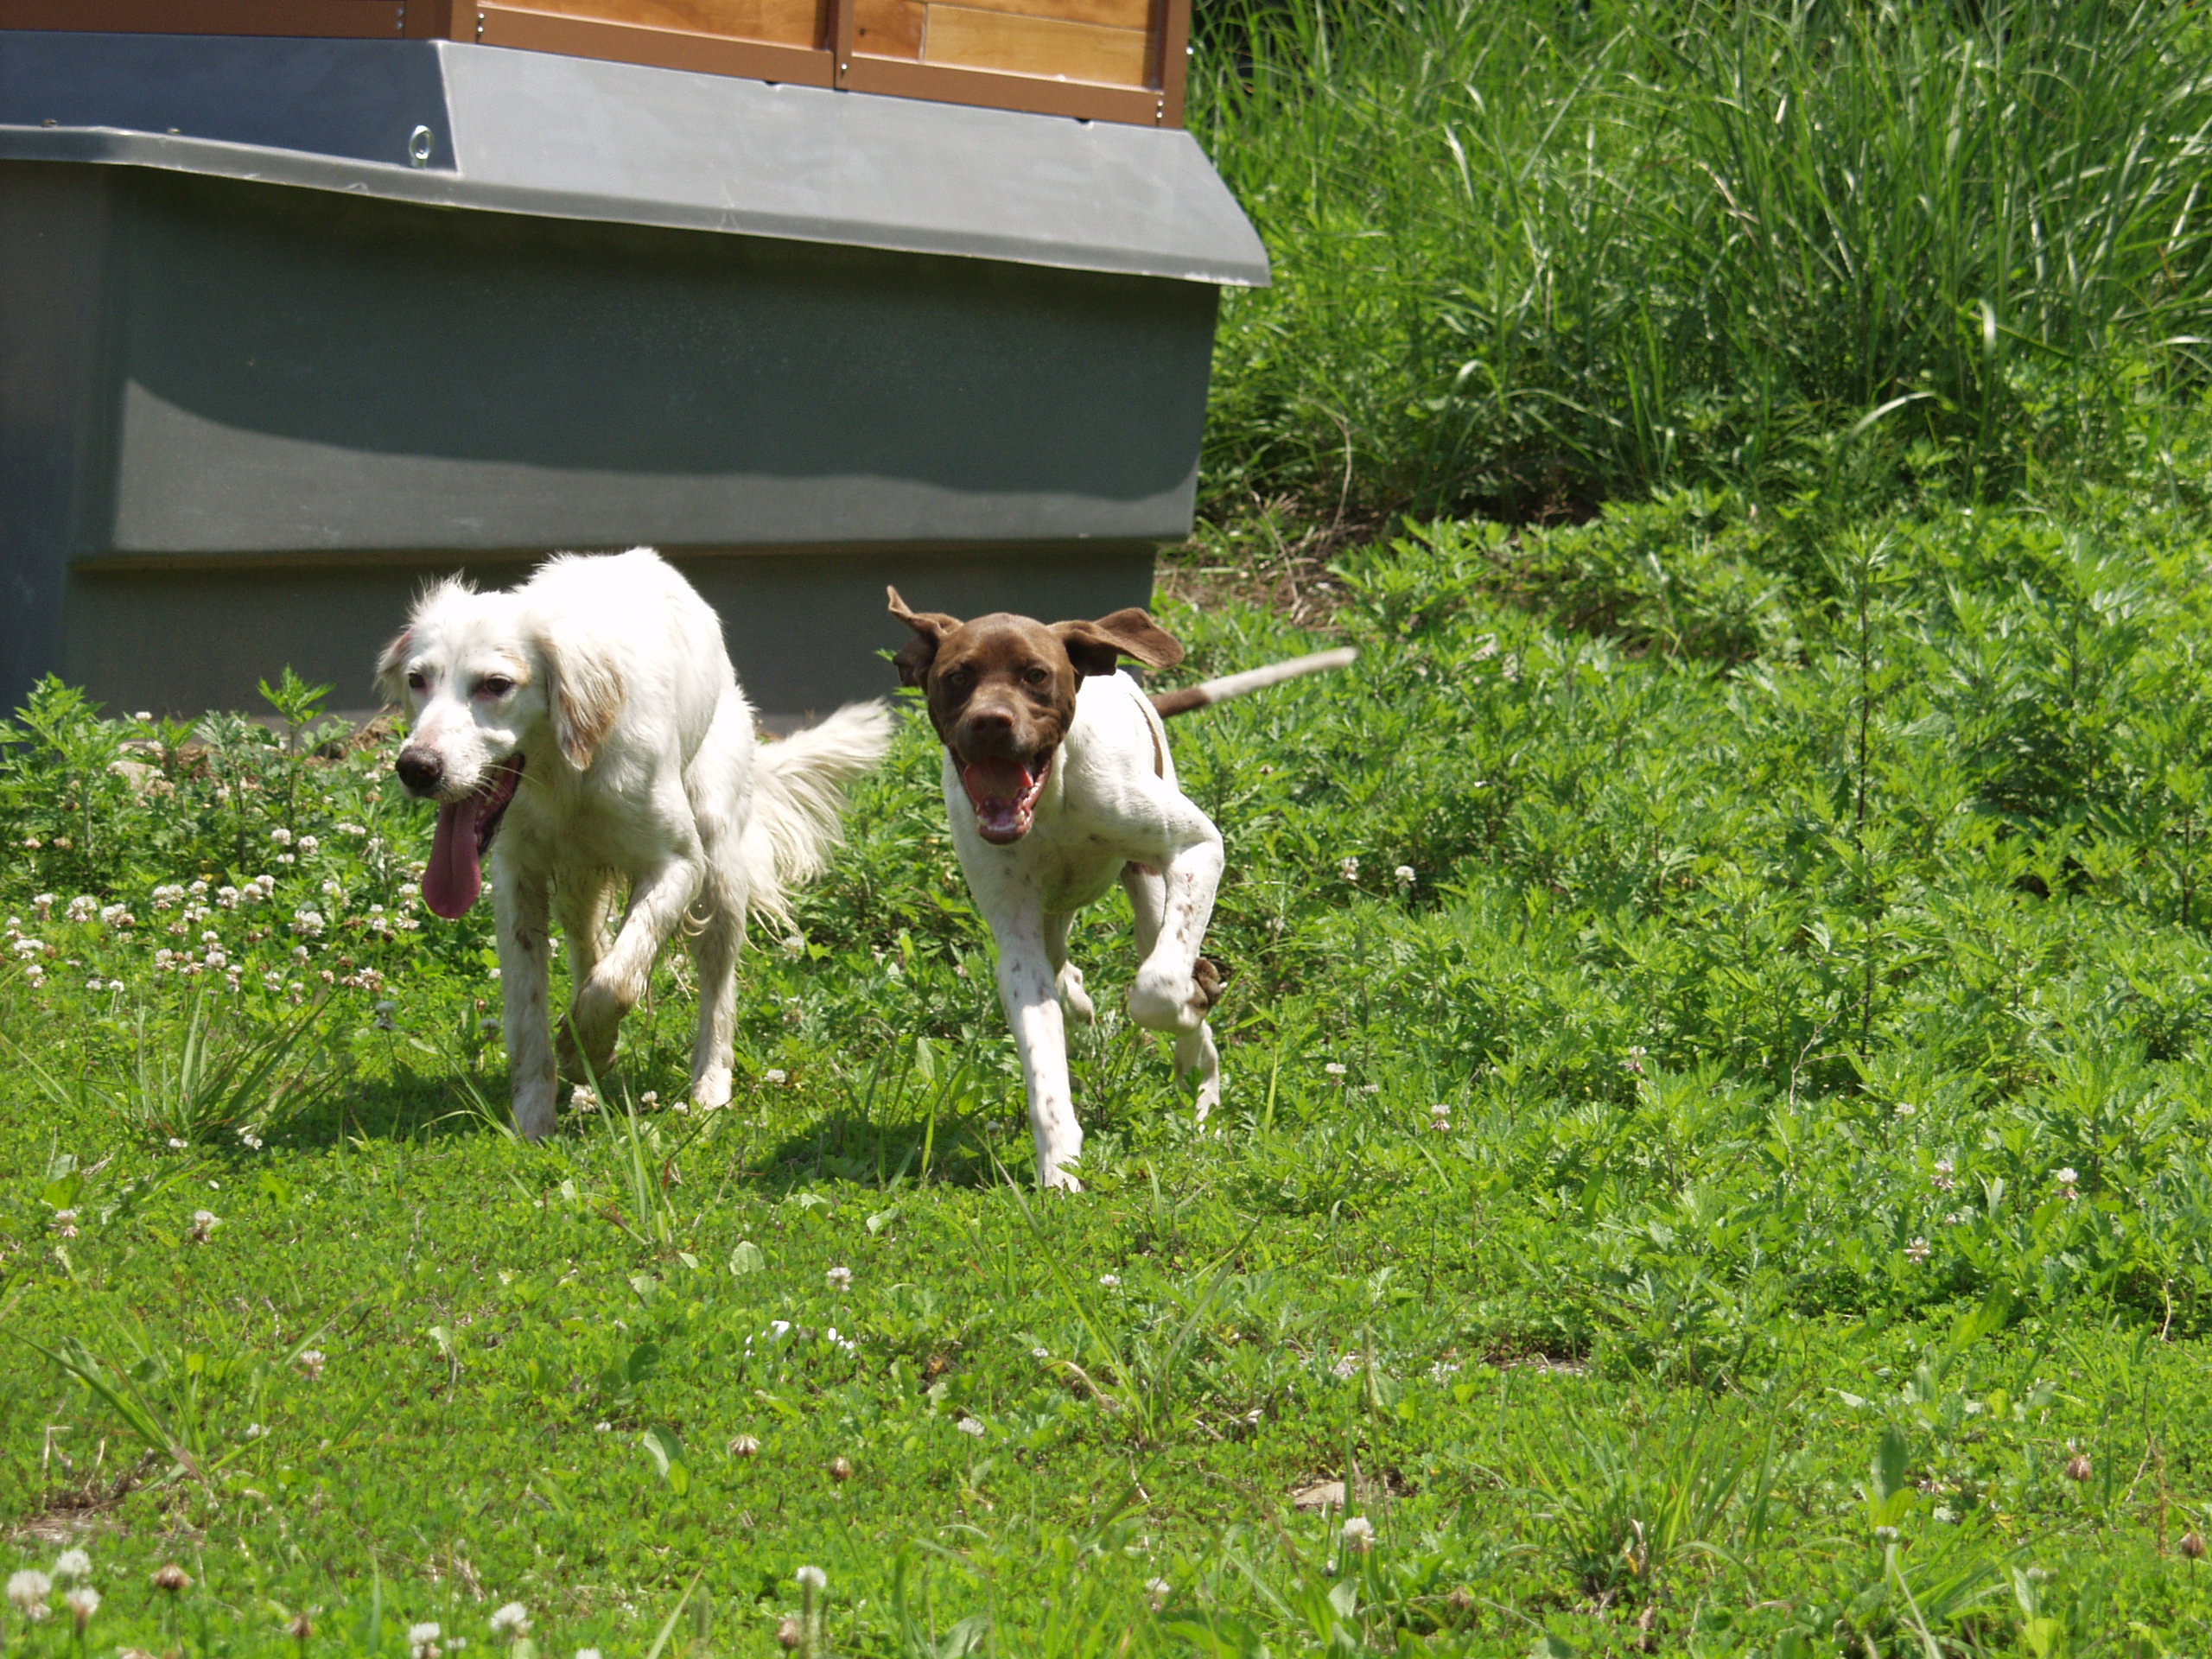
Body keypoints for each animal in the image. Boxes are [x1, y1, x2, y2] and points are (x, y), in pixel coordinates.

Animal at [377, 549, 892, 1138]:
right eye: (418, 679)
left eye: (495, 684)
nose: (416, 767)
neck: (566, 771)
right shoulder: (517, 880)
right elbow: (532, 1008)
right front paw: (536, 1113)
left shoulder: (680, 864)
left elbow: (617, 983)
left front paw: (583, 1048)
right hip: (578, 883)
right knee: (590, 947)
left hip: (719, 864)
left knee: (715, 986)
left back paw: (710, 1084)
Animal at [887, 588, 1353, 1189]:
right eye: (957, 677)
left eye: (1036, 675)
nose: (991, 723)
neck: (1054, 795)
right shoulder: (1017, 946)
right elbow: (1043, 1068)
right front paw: (1059, 1168)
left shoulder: (1199, 849)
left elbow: (1157, 989)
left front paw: (1191, 1003)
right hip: (1052, 916)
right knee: (1064, 970)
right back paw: (1083, 1006)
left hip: (1155, 895)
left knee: (1173, 980)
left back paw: (1202, 1090)